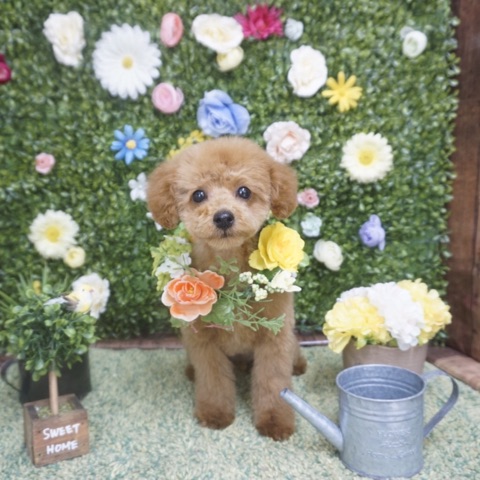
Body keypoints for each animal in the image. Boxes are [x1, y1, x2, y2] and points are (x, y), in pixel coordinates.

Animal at [147, 136, 307, 440]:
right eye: (198, 195)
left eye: (244, 191)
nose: (223, 217)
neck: (230, 266)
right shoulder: (203, 342)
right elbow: (213, 380)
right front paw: (215, 414)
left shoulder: (274, 337)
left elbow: (273, 381)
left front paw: (275, 421)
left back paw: (299, 364)